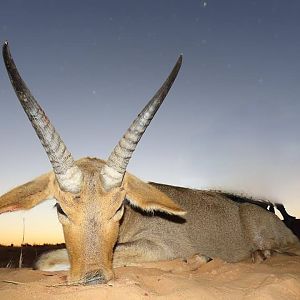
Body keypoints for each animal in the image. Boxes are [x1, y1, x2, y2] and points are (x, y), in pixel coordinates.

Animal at [0, 41, 298, 284]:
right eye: (61, 209)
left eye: (119, 207)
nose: (93, 277)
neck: (133, 218)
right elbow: (44, 260)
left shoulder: (160, 247)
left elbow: (48, 259)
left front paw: (197, 258)